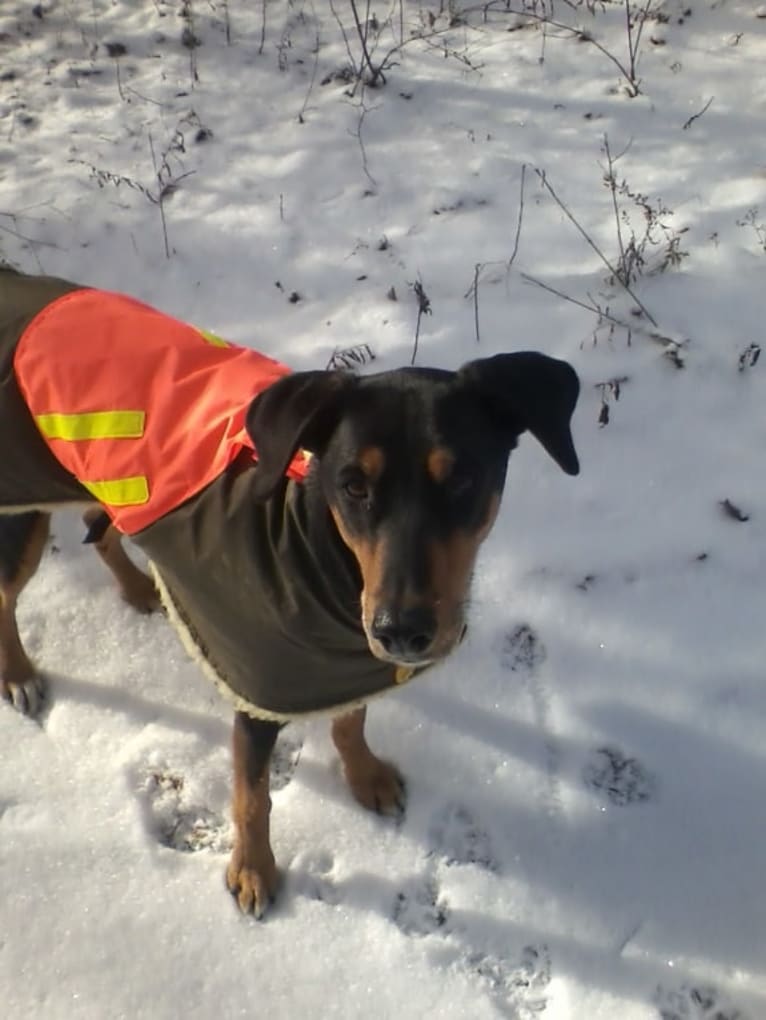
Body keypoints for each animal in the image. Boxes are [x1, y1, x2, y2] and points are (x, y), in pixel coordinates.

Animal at [0, 269, 579, 918]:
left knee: (100, 527)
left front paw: (365, 776)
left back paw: (136, 588)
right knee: (4, 595)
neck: (323, 546)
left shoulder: (343, 661)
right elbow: (253, 796)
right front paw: (253, 871)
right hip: (21, 507)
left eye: (461, 479)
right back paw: (18, 675)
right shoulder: (261, 691)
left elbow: (350, 721)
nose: (401, 632)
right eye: (352, 486)